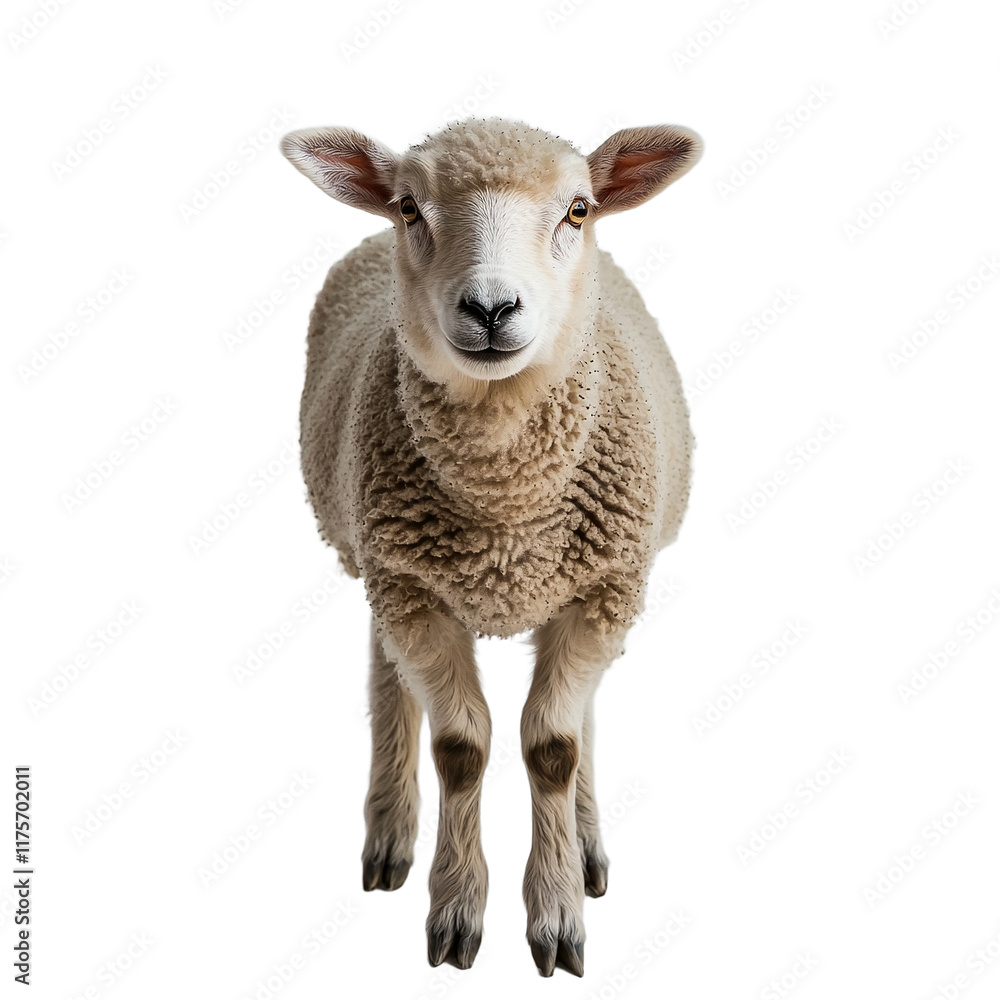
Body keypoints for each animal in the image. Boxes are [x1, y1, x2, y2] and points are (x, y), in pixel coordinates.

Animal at [280, 116, 702, 977]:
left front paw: (559, 914)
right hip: (376, 557)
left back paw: (588, 841)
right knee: (387, 672)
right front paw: (456, 911)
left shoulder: (603, 589)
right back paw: (389, 830)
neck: (505, 505)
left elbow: (554, 748)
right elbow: (461, 750)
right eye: (409, 207)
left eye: (578, 209)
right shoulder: (410, 589)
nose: (491, 307)